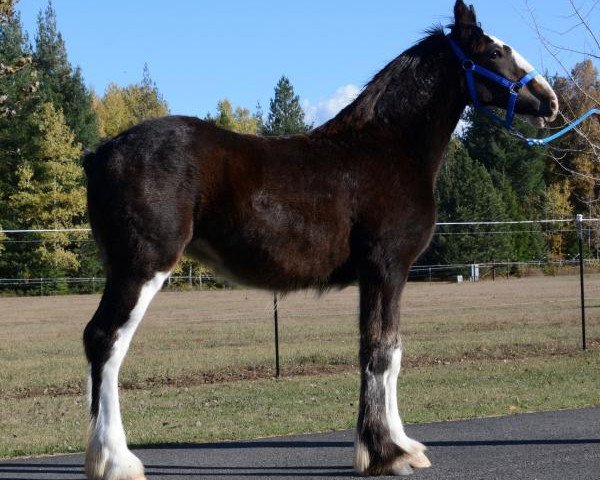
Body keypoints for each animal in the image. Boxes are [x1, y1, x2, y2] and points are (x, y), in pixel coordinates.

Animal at [82, 1, 560, 478]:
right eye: (494, 51)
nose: (549, 100)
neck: (387, 147)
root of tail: (101, 152)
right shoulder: (386, 268)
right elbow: (381, 351)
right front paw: (388, 453)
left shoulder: (379, 274)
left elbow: (389, 351)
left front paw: (398, 445)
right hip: (142, 267)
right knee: (106, 340)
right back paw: (116, 459)